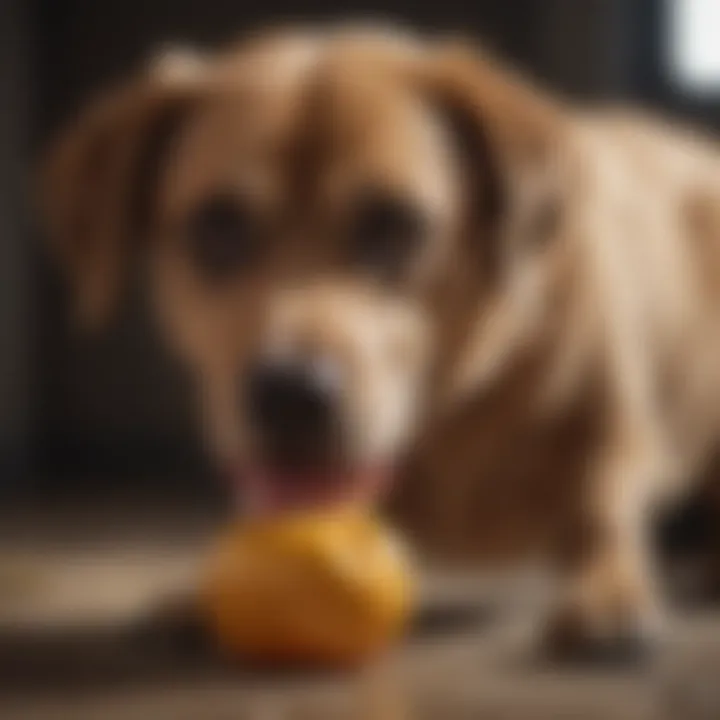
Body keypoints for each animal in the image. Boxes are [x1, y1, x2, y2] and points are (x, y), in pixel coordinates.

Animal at [39, 23, 720, 664]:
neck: (445, 422)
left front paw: (610, 592)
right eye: (217, 225)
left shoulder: (606, 434)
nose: (289, 396)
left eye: (393, 223)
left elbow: (601, 516)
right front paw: (198, 596)